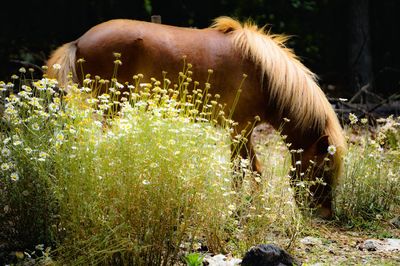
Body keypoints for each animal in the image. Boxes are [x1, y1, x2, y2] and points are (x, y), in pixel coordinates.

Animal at [46, 16, 346, 218]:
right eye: (324, 168)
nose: (325, 214)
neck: (264, 74)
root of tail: (79, 41)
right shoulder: (239, 130)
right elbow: (239, 171)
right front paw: (235, 209)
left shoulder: (244, 131)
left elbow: (255, 169)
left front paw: (253, 207)